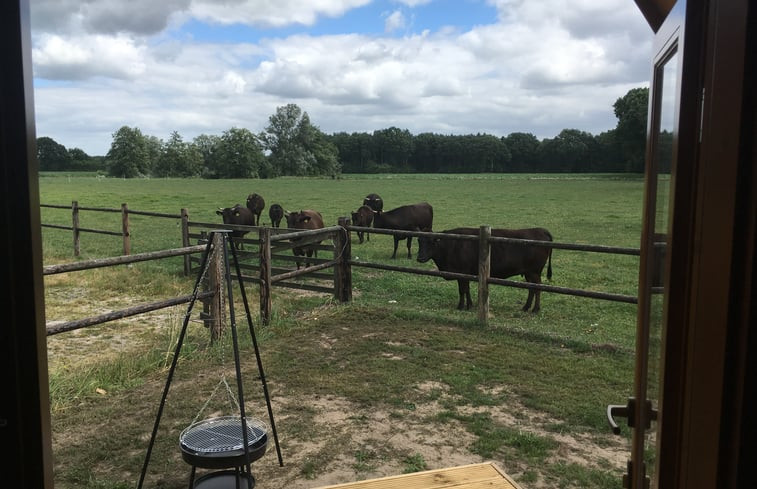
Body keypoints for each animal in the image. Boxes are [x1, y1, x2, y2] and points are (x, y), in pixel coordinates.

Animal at [416, 227, 552, 310]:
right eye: (419, 241)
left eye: (432, 241)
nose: (420, 258)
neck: (451, 245)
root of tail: (541, 230)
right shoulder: (465, 274)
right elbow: (466, 289)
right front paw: (469, 305)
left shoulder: (462, 272)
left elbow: (462, 290)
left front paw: (461, 306)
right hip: (529, 273)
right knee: (531, 288)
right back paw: (526, 307)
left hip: (534, 272)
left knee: (537, 288)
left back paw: (535, 309)